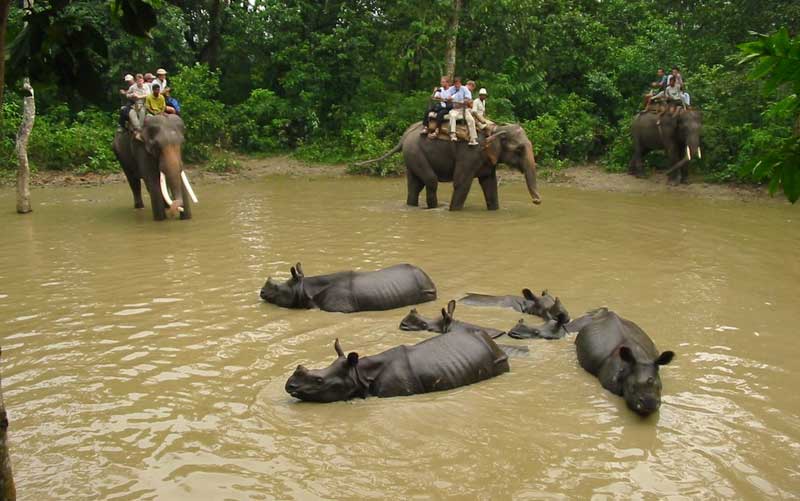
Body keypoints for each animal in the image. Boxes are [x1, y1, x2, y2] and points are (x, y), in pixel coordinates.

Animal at [354, 122, 540, 210]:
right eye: (519, 149)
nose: (537, 201)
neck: (495, 128)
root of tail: (404, 136)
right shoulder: (470, 153)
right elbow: (461, 183)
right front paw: (454, 211)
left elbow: (490, 185)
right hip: (415, 153)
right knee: (431, 181)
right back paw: (433, 209)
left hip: (411, 156)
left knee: (415, 186)